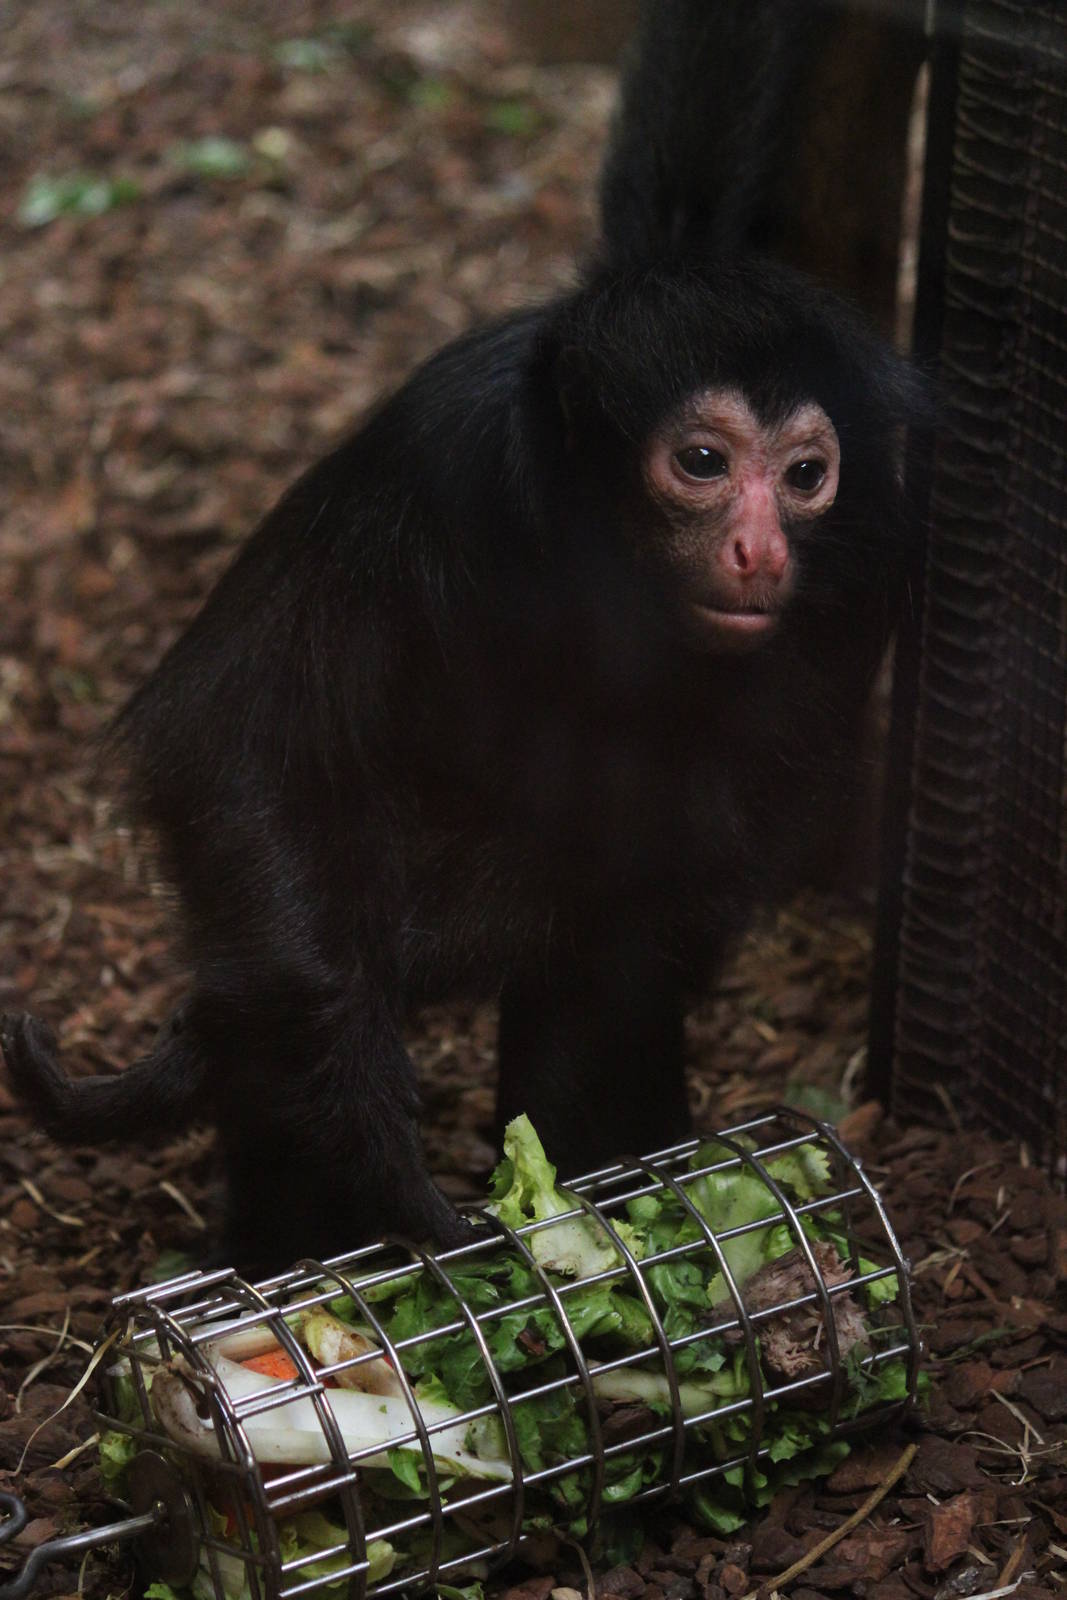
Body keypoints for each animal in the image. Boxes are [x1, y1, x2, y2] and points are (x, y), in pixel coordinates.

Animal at [1, 0, 926, 1271]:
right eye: (700, 461)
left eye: (802, 476)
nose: (757, 549)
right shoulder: (448, 457)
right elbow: (238, 744)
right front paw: (361, 1129)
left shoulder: (869, 549)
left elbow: (666, 891)